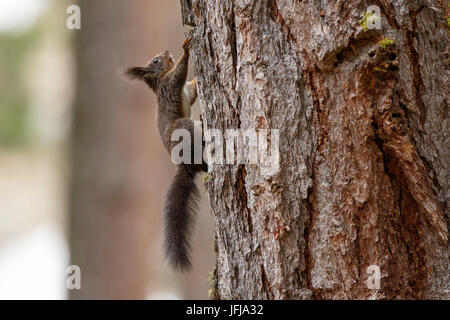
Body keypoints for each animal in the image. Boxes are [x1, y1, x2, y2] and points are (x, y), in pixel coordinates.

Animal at [125, 38, 206, 272]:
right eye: (155, 60)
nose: (166, 51)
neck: (160, 78)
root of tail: (186, 166)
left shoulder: (185, 90)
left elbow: (192, 88)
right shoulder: (171, 83)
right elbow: (180, 71)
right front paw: (186, 49)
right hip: (182, 127)